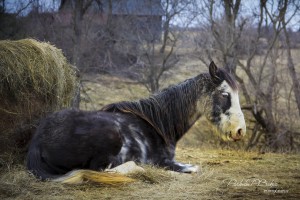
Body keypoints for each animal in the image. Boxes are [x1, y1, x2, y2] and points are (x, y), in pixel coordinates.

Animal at [26, 61, 246, 184]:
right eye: (225, 94)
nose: (240, 131)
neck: (158, 124)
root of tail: (38, 142)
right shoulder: (163, 161)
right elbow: (192, 168)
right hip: (109, 141)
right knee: (102, 170)